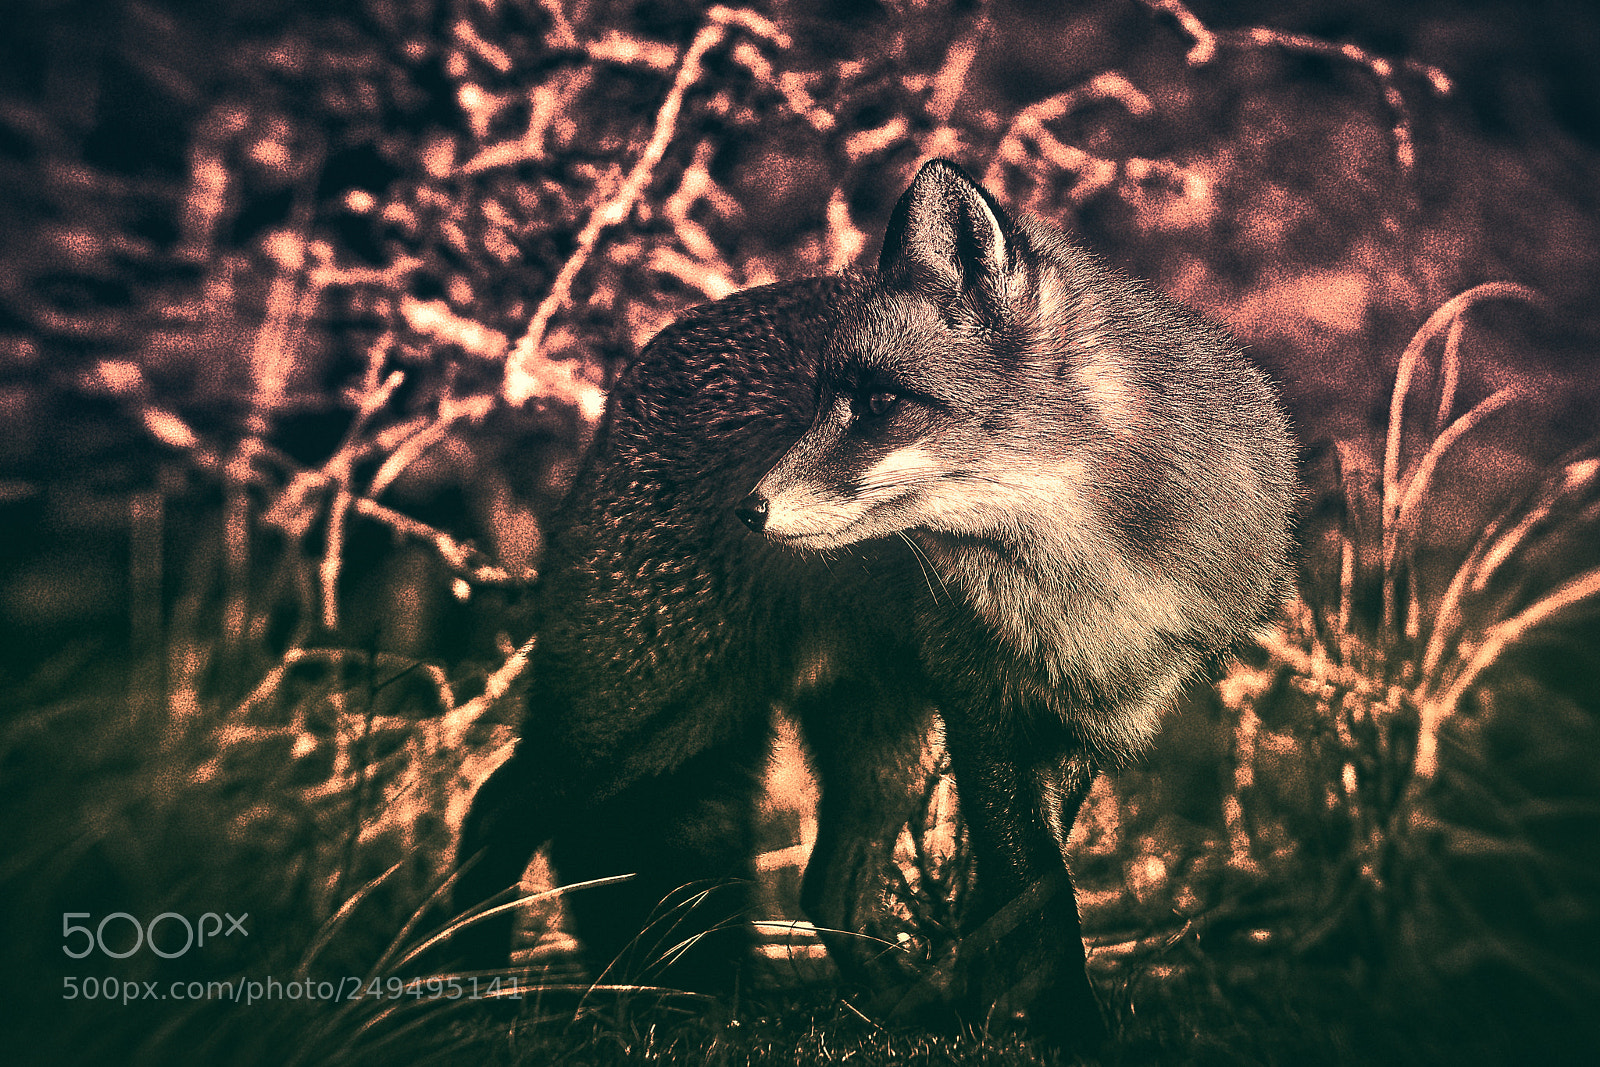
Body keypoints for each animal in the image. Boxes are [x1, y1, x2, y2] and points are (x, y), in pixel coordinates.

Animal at [452, 159, 1297, 1047]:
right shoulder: (985, 709)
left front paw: (995, 1014)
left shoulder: (1086, 716)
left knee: (829, 881)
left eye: (880, 403)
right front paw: (1072, 1032)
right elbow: (1040, 904)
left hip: (858, 734)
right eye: (820, 400)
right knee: (498, 804)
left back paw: (902, 1008)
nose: (746, 510)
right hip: (647, 706)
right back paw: (466, 992)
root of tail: (641, 367)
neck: (1087, 574)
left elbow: (1009, 904)